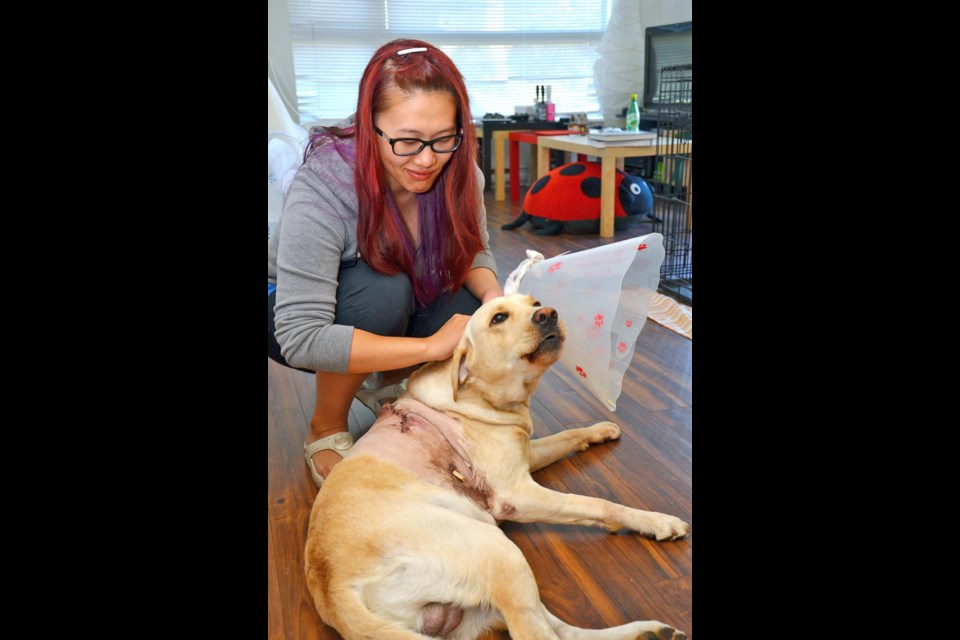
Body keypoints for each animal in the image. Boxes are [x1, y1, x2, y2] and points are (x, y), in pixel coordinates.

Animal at [304, 296, 688, 640]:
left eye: (535, 303)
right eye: (499, 317)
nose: (549, 313)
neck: (478, 395)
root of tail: (334, 593)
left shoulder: (526, 454)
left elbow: (568, 435)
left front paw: (599, 431)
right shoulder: (517, 494)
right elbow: (597, 504)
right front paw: (655, 521)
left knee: (563, 631)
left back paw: (649, 632)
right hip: (500, 552)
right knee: (536, 633)